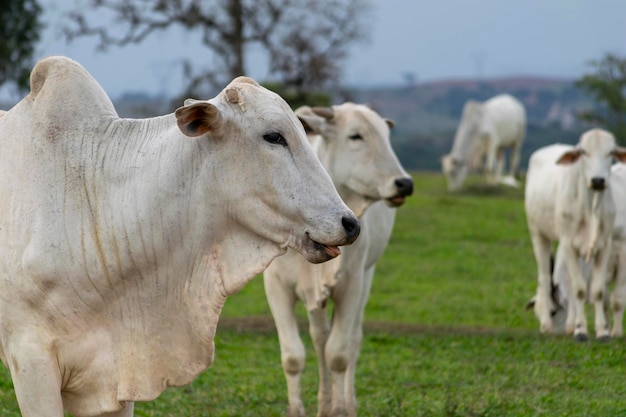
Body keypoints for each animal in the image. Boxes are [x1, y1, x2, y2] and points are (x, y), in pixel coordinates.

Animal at [262, 101, 412, 416]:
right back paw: (324, 402)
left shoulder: (351, 285)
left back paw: (347, 402)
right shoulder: (277, 286)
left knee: (352, 340)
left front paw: (340, 409)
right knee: (319, 337)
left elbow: (339, 354)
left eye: (386, 136)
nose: (404, 183)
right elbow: (293, 356)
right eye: (355, 136)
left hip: (367, 276)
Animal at [520, 129, 624, 338]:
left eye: (555, 311)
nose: (550, 333)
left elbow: (613, 298)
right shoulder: (572, 245)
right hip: (538, 233)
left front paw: (612, 332)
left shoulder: (615, 250)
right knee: (544, 277)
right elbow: (580, 288)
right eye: (583, 152)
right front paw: (578, 326)